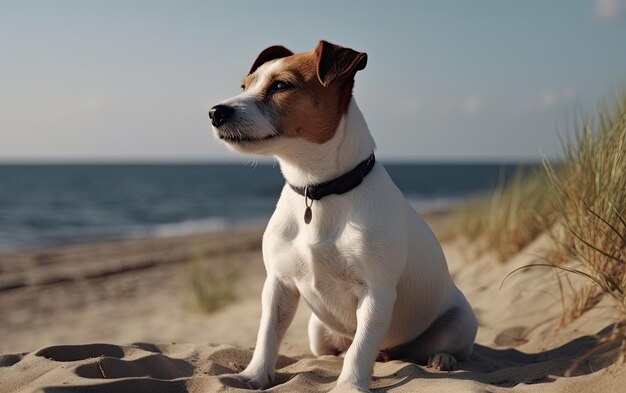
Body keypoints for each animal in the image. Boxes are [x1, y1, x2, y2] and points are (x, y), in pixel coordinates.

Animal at [207, 40, 476, 392]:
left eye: (281, 86)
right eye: (245, 87)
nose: (215, 112)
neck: (319, 190)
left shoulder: (377, 292)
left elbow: (361, 348)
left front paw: (349, 384)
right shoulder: (278, 284)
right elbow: (267, 334)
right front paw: (253, 375)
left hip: (460, 322)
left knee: (438, 347)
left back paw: (442, 359)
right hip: (317, 331)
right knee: (339, 348)